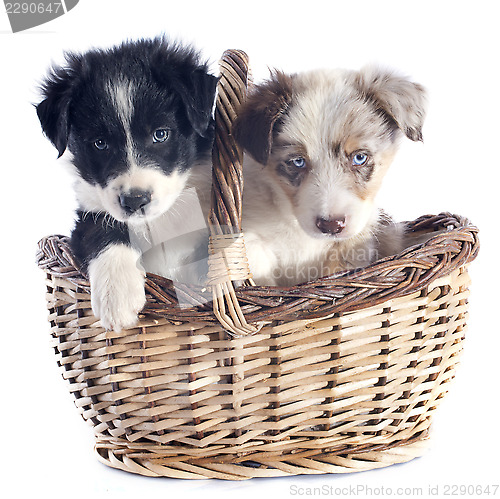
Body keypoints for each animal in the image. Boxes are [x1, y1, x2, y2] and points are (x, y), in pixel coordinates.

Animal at [38, 38, 218, 332]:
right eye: (100, 143)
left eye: (160, 134)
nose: (135, 200)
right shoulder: (89, 210)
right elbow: (101, 230)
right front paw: (117, 295)